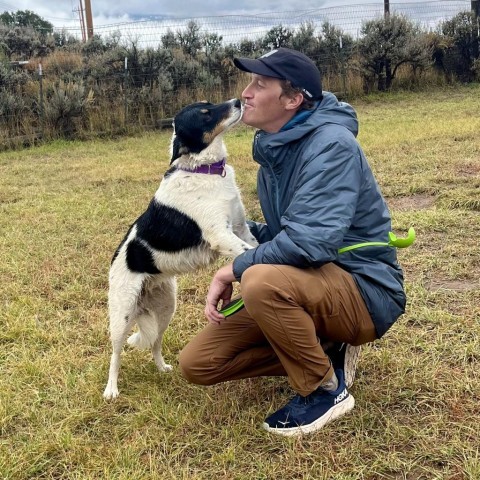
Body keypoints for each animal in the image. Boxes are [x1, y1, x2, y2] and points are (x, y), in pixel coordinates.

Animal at [103, 99, 256, 400]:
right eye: (205, 114)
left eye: (209, 104)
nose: (238, 101)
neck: (204, 170)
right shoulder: (222, 236)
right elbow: (251, 253)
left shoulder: (240, 229)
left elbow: (258, 247)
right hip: (122, 315)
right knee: (115, 354)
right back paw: (111, 389)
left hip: (166, 309)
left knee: (155, 343)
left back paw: (161, 368)